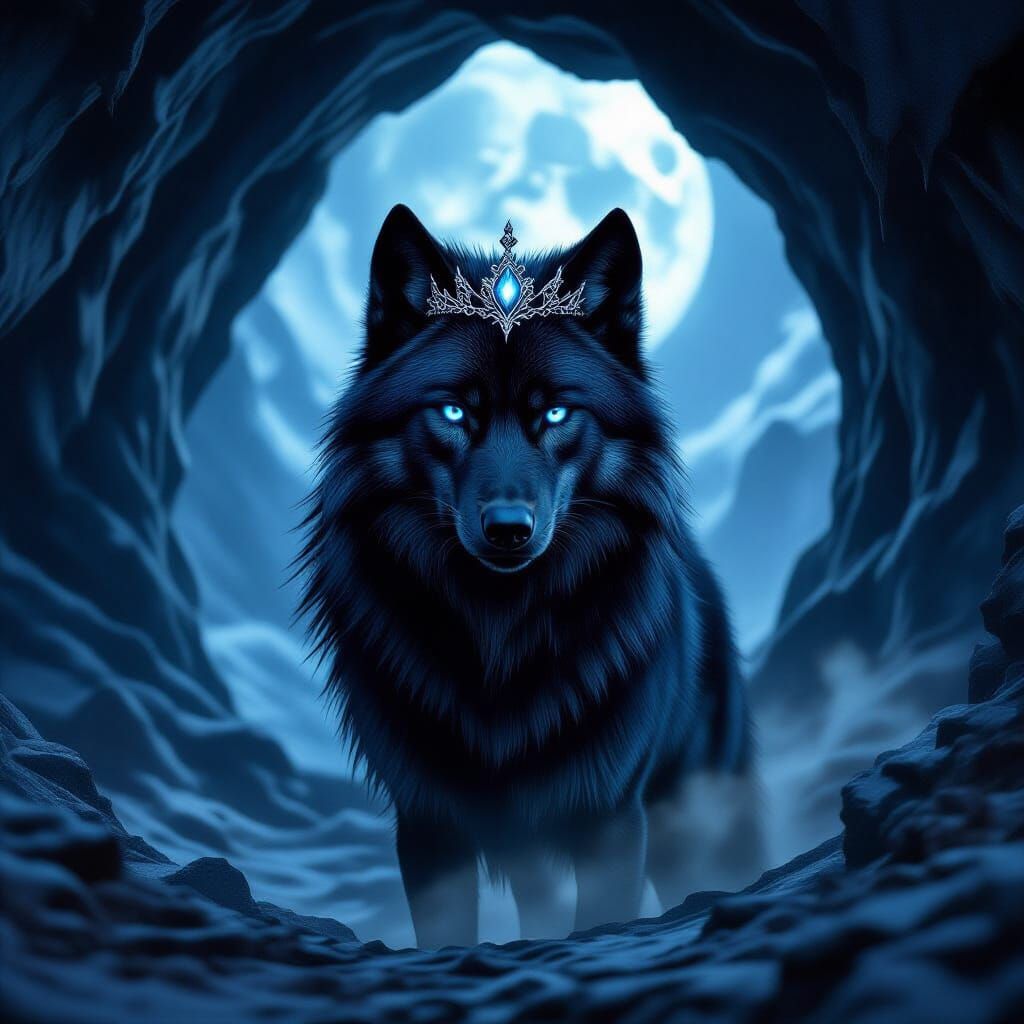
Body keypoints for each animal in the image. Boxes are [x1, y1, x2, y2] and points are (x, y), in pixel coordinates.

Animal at [299, 205, 761, 948]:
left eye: (556, 412)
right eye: (454, 411)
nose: (509, 529)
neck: (499, 638)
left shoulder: (612, 819)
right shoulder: (427, 824)